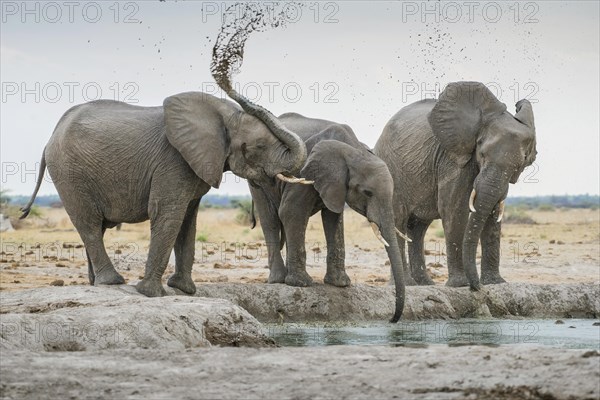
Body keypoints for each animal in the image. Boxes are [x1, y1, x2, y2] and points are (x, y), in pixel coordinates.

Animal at [18, 89, 310, 298]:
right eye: (259, 145)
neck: (223, 114)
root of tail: (50, 139)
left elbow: (188, 221)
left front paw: (184, 290)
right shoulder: (173, 160)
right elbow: (168, 214)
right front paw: (151, 294)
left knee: (95, 228)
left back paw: (96, 284)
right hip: (69, 173)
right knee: (88, 224)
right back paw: (112, 281)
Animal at [248, 111, 408, 322]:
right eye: (367, 193)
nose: (391, 320)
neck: (354, 149)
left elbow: (333, 218)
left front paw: (340, 283)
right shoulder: (305, 170)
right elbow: (290, 211)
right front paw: (302, 284)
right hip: (256, 175)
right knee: (271, 219)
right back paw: (279, 280)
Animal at [372, 82, 536, 288]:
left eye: (519, 165)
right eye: (482, 154)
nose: (477, 286)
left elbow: (493, 213)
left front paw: (496, 284)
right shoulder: (451, 159)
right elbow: (454, 209)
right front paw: (461, 285)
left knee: (417, 229)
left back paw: (425, 284)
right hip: (391, 169)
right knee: (399, 220)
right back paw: (408, 285)